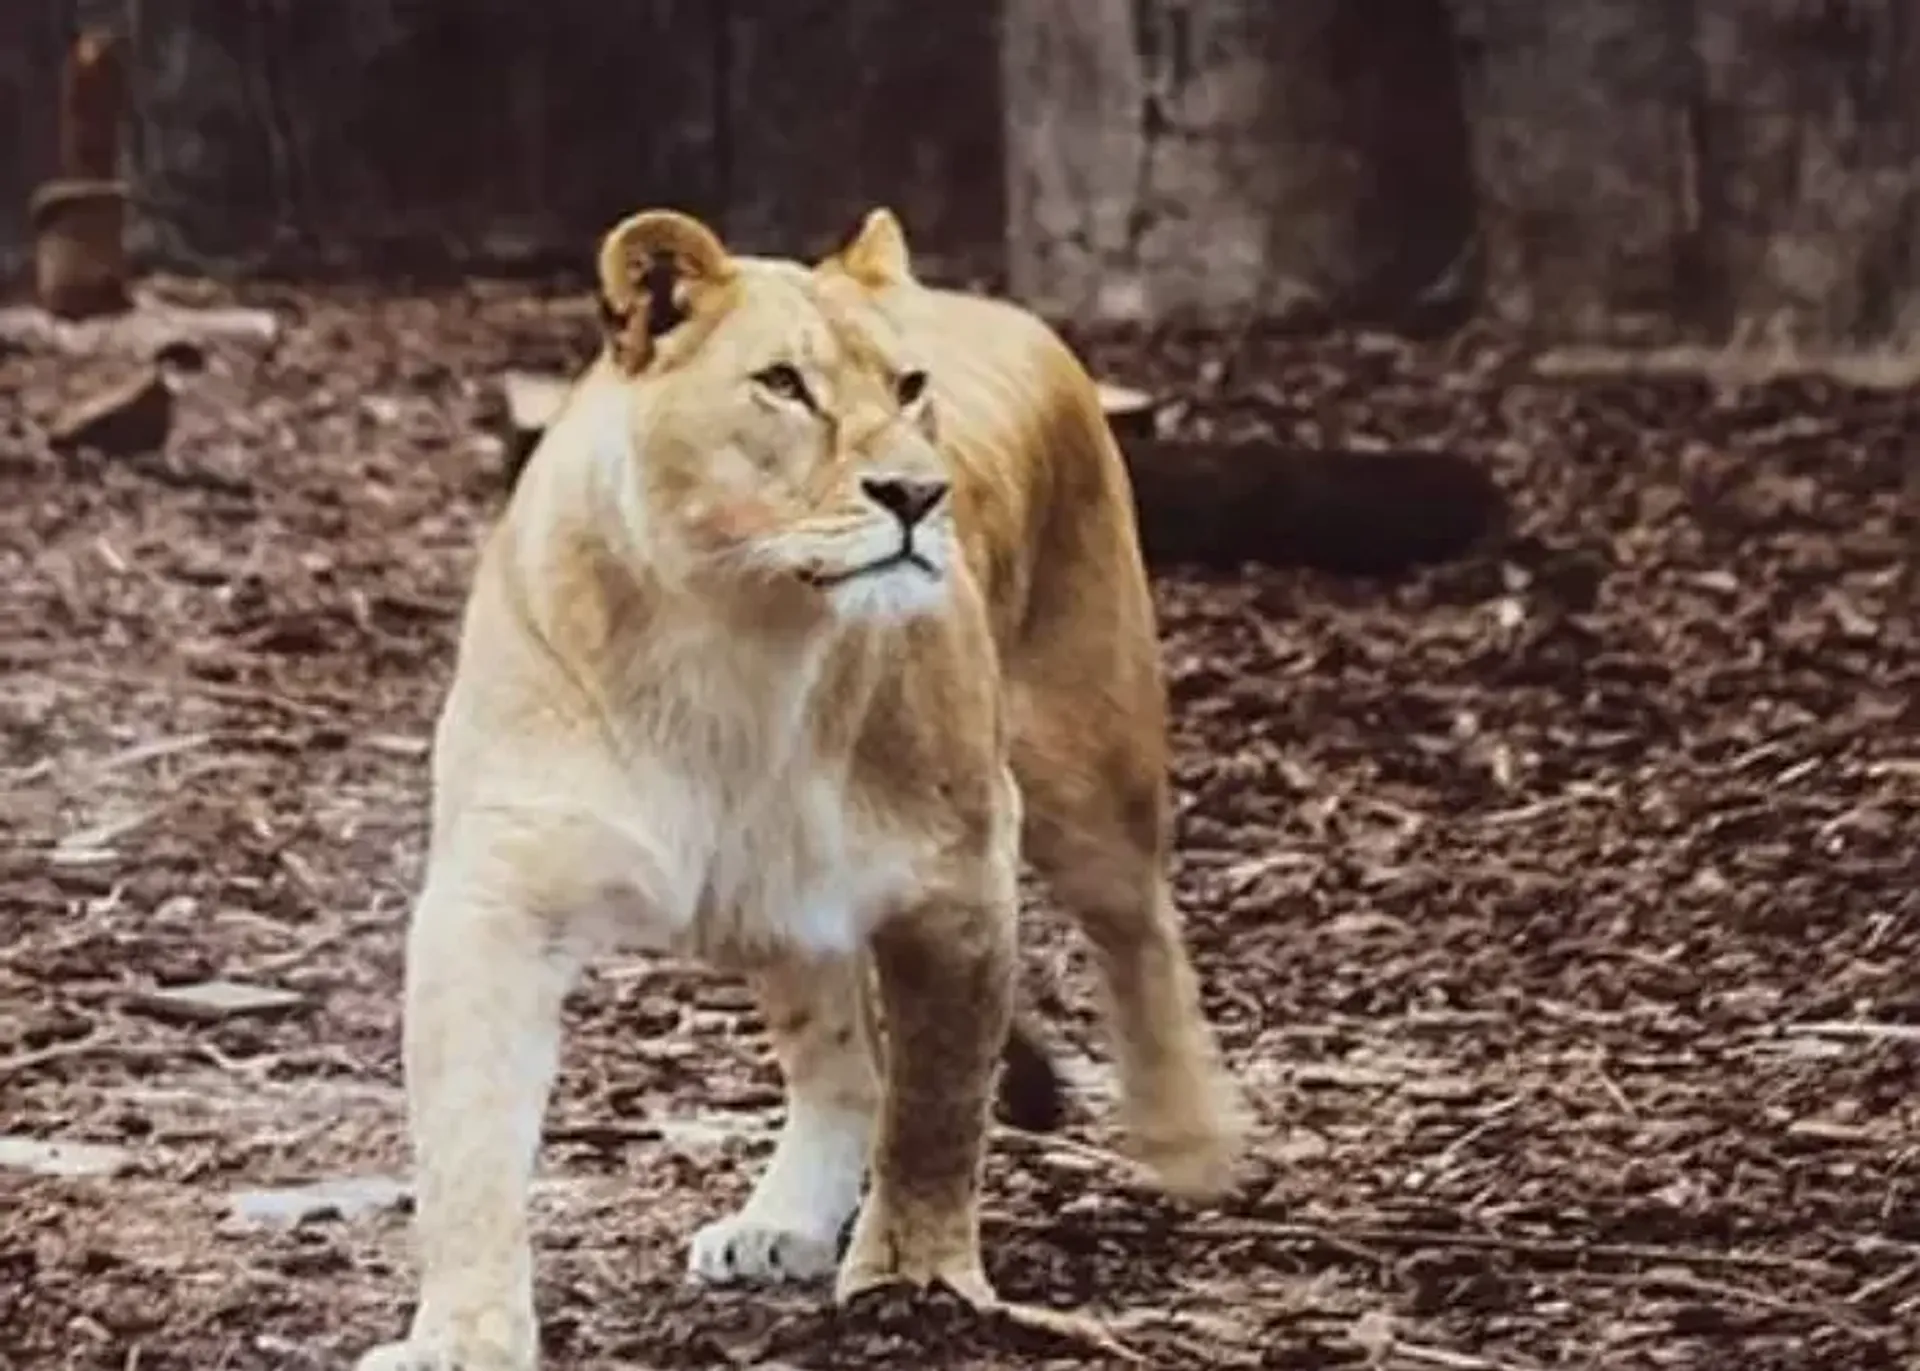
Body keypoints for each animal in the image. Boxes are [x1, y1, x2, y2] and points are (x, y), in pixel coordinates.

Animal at [354, 206, 1246, 1371]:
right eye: (782, 383)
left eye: (910, 387)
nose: (918, 493)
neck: (736, 631)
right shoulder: (501, 895)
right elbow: (468, 1138)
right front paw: (463, 1334)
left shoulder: (954, 875)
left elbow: (937, 1104)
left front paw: (917, 1284)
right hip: (776, 905)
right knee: (843, 1063)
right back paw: (779, 1223)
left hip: (1089, 758)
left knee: (1138, 928)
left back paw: (1189, 1139)